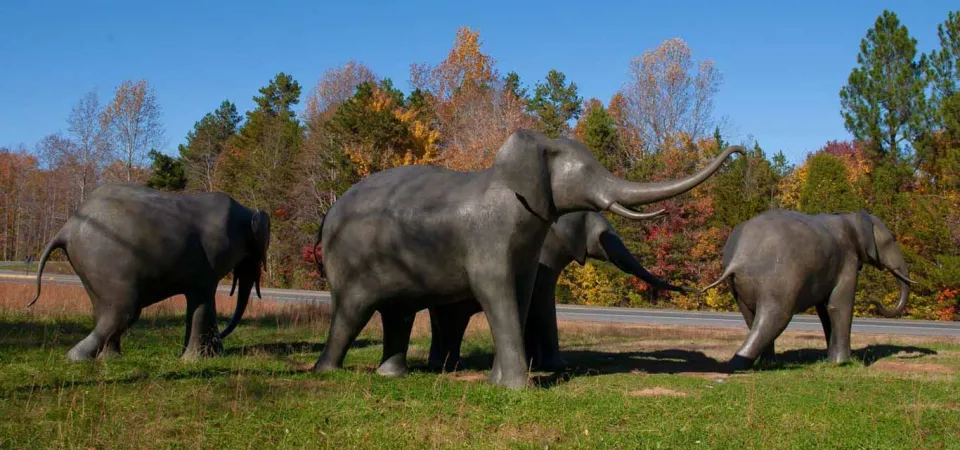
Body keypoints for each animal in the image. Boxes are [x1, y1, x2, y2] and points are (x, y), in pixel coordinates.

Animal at [28, 183, 271, 361]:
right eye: (262, 245)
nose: (223, 334)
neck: (246, 211)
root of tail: (66, 228)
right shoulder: (210, 260)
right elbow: (203, 299)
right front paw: (196, 361)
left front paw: (203, 357)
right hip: (106, 262)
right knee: (125, 311)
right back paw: (76, 359)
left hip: (90, 267)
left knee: (103, 309)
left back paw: (110, 360)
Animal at [426, 210, 698, 373]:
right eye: (605, 236)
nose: (694, 291)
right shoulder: (542, 260)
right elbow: (543, 303)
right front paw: (557, 366)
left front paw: (536, 365)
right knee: (452, 323)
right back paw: (451, 367)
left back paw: (440, 365)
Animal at [700, 209, 915, 370]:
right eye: (891, 239)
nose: (874, 301)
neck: (848, 216)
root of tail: (739, 254)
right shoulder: (847, 261)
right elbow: (837, 307)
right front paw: (842, 363)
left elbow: (825, 312)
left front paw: (832, 360)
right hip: (779, 280)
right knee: (773, 318)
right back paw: (736, 366)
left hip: (739, 286)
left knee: (752, 318)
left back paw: (764, 363)